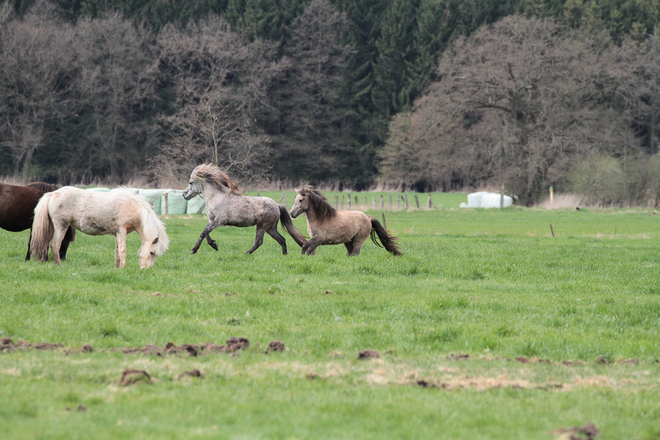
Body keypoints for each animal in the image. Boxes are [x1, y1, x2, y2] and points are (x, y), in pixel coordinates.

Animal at [32, 186, 169, 268]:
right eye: (151, 252)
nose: (146, 269)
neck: (133, 207)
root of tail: (54, 193)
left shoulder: (117, 233)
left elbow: (117, 252)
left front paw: (117, 268)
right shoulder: (122, 230)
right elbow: (122, 250)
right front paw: (123, 268)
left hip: (51, 227)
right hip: (61, 226)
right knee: (55, 245)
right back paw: (59, 265)